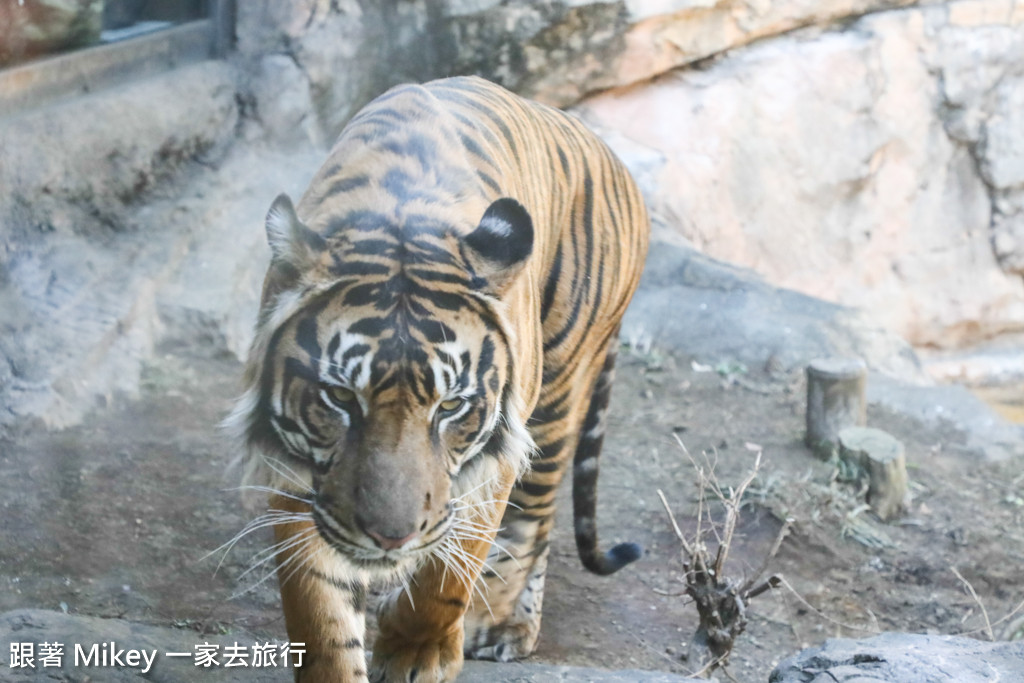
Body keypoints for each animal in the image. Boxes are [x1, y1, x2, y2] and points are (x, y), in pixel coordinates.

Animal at [227, 76, 647, 683]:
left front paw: (418, 652)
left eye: (450, 406)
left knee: (534, 520)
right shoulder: (299, 467)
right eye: (340, 398)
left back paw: (499, 623)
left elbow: (449, 574)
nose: (391, 538)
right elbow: (318, 608)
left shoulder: (490, 461)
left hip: (558, 393)